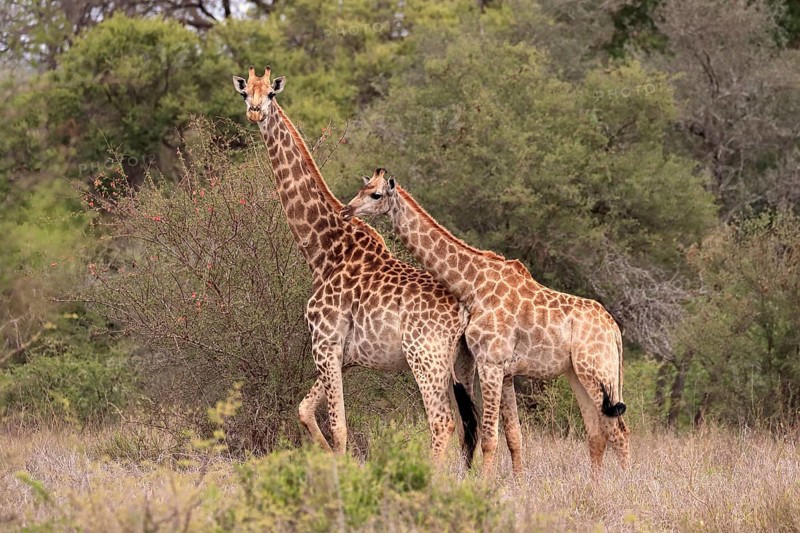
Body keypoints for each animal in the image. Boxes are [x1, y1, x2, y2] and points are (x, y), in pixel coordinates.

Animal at [231, 68, 479, 464]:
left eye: (271, 93)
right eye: (245, 94)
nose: (255, 112)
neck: (322, 250)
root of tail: (463, 313)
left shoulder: (325, 342)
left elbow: (339, 427)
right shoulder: (347, 355)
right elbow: (304, 410)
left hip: (425, 358)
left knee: (442, 424)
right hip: (461, 366)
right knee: (475, 428)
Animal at [342, 169, 631, 474]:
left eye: (376, 194)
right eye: (362, 189)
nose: (347, 210)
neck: (473, 284)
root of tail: (614, 330)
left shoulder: (490, 362)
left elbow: (490, 437)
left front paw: (485, 483)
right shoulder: (506, 371)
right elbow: (514, 436)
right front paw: (517, 482)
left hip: (598, 371)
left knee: (619, 431)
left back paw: (623, 482)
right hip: (578, 374)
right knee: (597, 432)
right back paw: (596, 481)